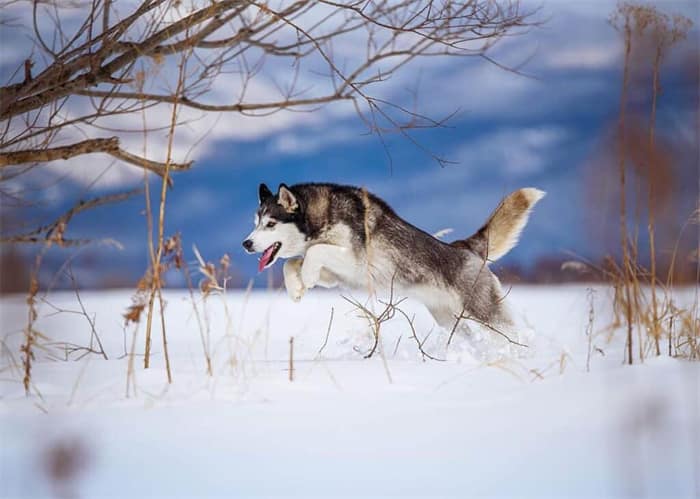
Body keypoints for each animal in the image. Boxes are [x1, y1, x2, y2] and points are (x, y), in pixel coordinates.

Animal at [243, 184, 544, 332]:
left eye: (270, 224)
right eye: (256, 223)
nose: (246, 244)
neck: (320, 217)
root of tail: (464, 247)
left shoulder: (355, 260)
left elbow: (313, 253)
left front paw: (304, 278)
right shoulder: (335, 273)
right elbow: (293, 261)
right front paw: (297, 287)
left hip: (487, 314)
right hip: (449, 319)